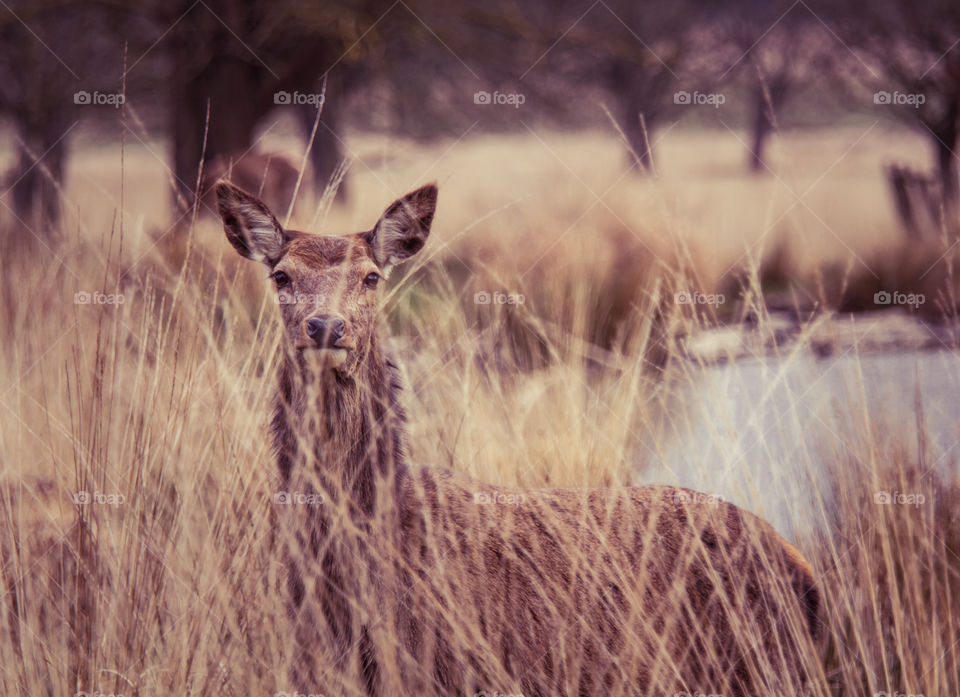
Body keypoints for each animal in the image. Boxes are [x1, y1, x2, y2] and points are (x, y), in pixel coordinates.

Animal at [218, 179, 824, 696]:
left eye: (371, 276)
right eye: (281, 276)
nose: (325, 327)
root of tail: (805, 571)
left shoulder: (444, 670)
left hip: (761, 667)